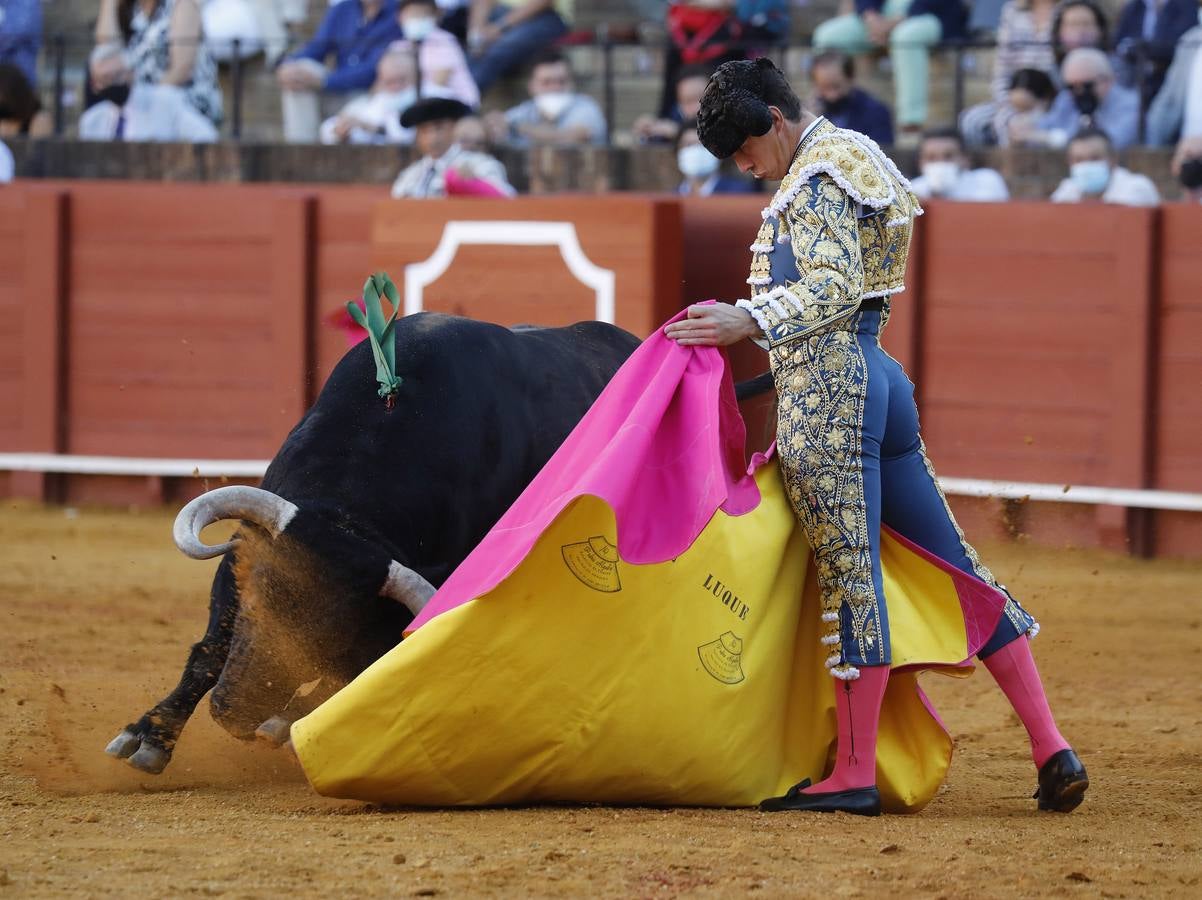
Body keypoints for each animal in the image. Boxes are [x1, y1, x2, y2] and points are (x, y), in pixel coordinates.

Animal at [103, 310, 769, 773]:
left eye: (337, 634)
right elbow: (208, 648)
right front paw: (148, 737)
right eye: (263, 600)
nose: (235, 713)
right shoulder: (246, 559)